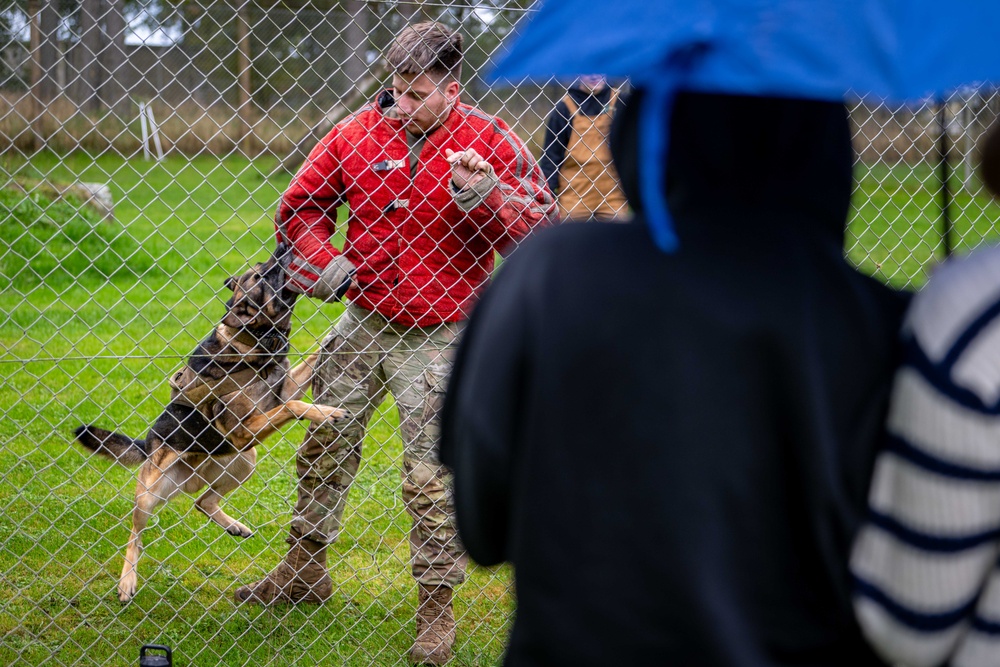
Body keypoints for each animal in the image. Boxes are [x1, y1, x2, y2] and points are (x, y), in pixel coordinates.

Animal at [75, 252, 348, 604]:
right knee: (135, 534)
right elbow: (293, 407)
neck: (255, 339)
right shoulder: (245, 428)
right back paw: (127, 582)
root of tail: (148, 445)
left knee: (202, 502)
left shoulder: (281, 394)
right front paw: (325, 413)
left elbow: (312, 359)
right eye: (262, 275)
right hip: (151, 494)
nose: (283, 248)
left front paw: (335, 333)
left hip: (245, 461)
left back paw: (232, 524)